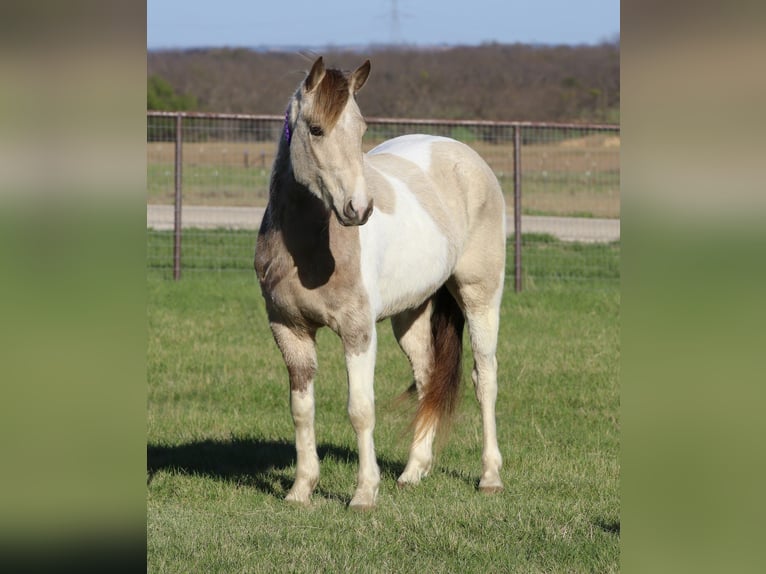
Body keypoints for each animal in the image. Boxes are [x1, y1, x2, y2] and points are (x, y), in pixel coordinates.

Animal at [255, 57, 506, 509]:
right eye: (315, 129)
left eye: (361, 128)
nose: (359, 208)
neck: (308, 249)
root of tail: (463, 154)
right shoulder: (289, 330)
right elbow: (301, 410)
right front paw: (301, 489)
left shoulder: (358, 332)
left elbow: (360, 409)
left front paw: (364, 493)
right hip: (412, 312)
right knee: (427, 379)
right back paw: (412, 472)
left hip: (481, 297)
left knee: (485, 379)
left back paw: (490, 477)